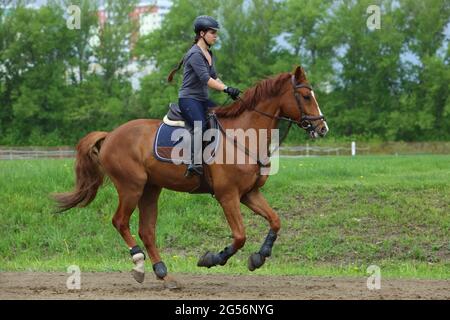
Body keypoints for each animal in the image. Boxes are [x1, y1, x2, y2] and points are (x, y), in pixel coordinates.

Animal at [53, 66, 326, 288]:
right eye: (305, 96)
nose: (323, 128)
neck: (243, 136)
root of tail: (110, 135)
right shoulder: (227, 195)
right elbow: (239, 236)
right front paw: (211, 259)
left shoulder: (249, 194)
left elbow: (276, 221)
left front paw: (259, 257)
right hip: (132, 187)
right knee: (120, 222)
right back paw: (139, 264)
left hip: (151, 189)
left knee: (147, 231)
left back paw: (163, 274)